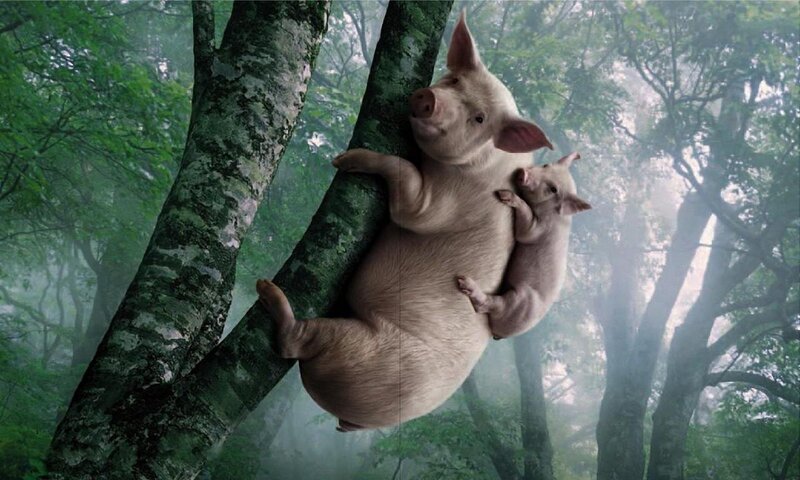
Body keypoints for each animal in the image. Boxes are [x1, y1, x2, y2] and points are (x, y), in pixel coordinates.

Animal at [256, 12, 552, 432]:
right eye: (454, 81)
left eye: (479, 118)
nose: (429, 99)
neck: (484, 166)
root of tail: (358, 419)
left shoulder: (446, 201)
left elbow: (409, 195)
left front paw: (343, 160)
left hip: (360, 351)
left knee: (294, 343)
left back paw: (268, 291)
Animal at [456, 152, 591, 340]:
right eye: (546, 166)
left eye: (553, 189)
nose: (523, 173)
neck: (553, 212)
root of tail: (501, 334)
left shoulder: (539, 228)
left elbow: (525, 230)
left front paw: (504, 195)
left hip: (519, 302)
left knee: (488, 305)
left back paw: (464, 282)